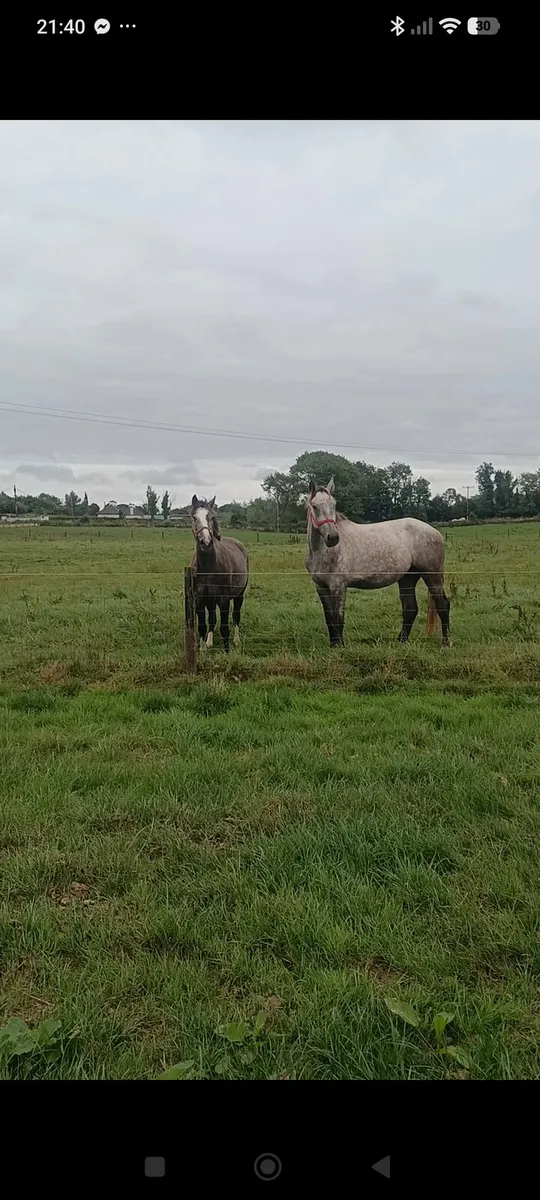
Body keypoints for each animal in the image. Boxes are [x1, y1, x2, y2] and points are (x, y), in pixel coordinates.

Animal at [190, 495, 248, 652]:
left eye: (211, 517)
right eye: (194, 517)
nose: (206, 542)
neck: (208, 568)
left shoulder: (223, 600)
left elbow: (224, 628)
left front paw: (227, 652)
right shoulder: (200, 599)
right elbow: (203, 626)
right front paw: (202, 650)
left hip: (239, 595)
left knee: (236, 617)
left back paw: (236, 640)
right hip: (211, 601)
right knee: (211, 619)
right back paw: (209, 642)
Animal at [305, 477, 451, 648]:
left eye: (334, 504)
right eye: (315, 506)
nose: (333, 537)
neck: (323, 552)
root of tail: (435, 532)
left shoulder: (338, 586)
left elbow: (338, 619)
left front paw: (340, 647)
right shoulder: (321, 587)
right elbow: (329, 620)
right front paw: (333, 645)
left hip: (432, 576)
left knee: (443, 606)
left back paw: (445, 643)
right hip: (407, 578)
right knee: (410, 609)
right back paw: (400, 641)